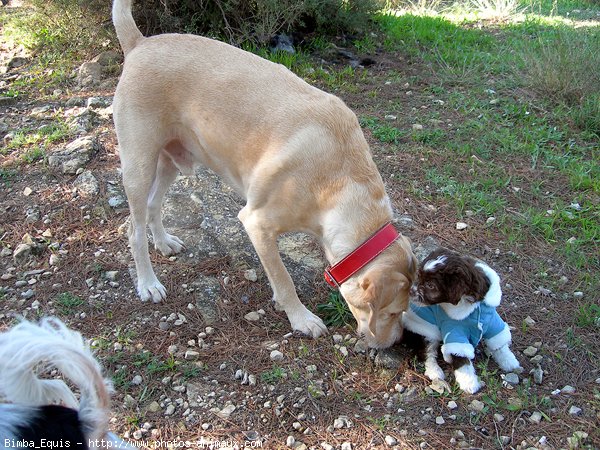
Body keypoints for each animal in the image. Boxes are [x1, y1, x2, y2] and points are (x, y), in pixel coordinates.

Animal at [111, 0, 418, 348]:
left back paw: (163, 242)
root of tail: (140, 43)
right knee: (133, 228)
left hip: (169, 162)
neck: (341, 181)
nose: (397, 342)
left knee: (154, 205)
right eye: (392, 312)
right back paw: (148, 282)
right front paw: (301, 318)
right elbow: (284, 280)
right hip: (139, 166)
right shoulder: (257, 224)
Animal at [404, 250, 520, 394]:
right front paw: (469, 383)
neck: (472, 307)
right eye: (418, 276)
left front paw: (510, 362)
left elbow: (500, 345)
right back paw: (435, 372)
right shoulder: (455, 333)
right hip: (424, 329)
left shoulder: (492, 323)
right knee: (427, 352)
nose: (410, 291)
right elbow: (461, 357)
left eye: (430, 285)